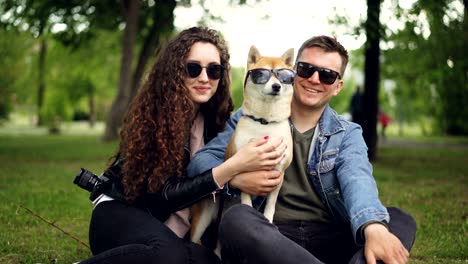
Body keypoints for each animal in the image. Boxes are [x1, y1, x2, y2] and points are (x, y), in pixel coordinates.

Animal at [189, 45, 292, 256]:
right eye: (262, 74)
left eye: (283, 76)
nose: (276, 86)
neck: (265, 122)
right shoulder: (245, 169)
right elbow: (246, 199)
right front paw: (248, 209)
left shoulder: (279, 173)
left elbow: (271, 205)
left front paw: (268, 220)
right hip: (203, 217)